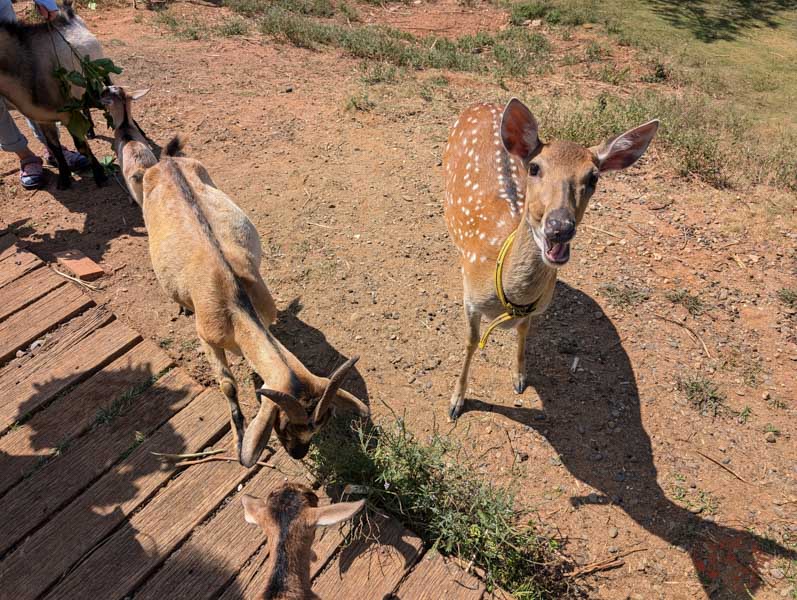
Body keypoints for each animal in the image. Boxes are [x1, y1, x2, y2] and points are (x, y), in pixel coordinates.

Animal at [0, 0, 107, 189]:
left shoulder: (68, 114)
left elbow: (80, 145)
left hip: (98, 72)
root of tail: (68, 14)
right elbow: (54, 147)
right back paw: (91, 131)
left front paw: (100, 174)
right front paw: (64, 178)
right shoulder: (41, 117)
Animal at [442, 98, 660, 420]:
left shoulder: (536, 309)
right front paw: (456, 401)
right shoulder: (470, 298)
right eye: (534, 167)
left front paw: (520, 377)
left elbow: (524, 332)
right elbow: (470, 342)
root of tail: (484, 103)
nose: (560, 227)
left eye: (593, 177)